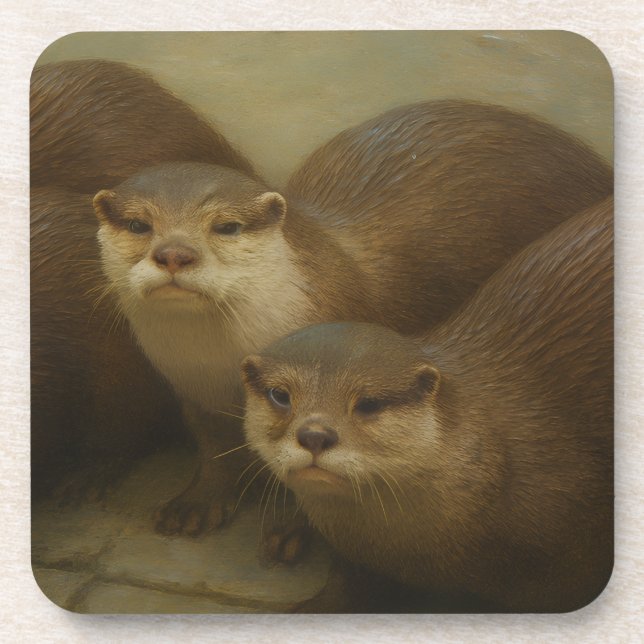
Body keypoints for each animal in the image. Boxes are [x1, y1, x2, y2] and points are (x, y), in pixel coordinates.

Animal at [94, 100, 612, 536]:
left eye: (226, 226)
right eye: (139, 224)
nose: (175, 254)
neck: (220, 364)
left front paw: (298, 531)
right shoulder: (193, 394)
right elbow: (213, 452)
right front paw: (196, 503)